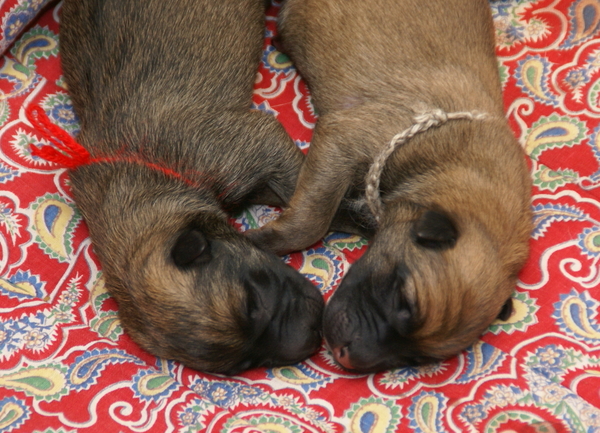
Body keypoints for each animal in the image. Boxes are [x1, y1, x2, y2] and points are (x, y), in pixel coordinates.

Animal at [246, 0, 532, 372]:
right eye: (404, 301)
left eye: (415, 358)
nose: (344, 355)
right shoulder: (342, 142)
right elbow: (310, 221)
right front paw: (261, 241)